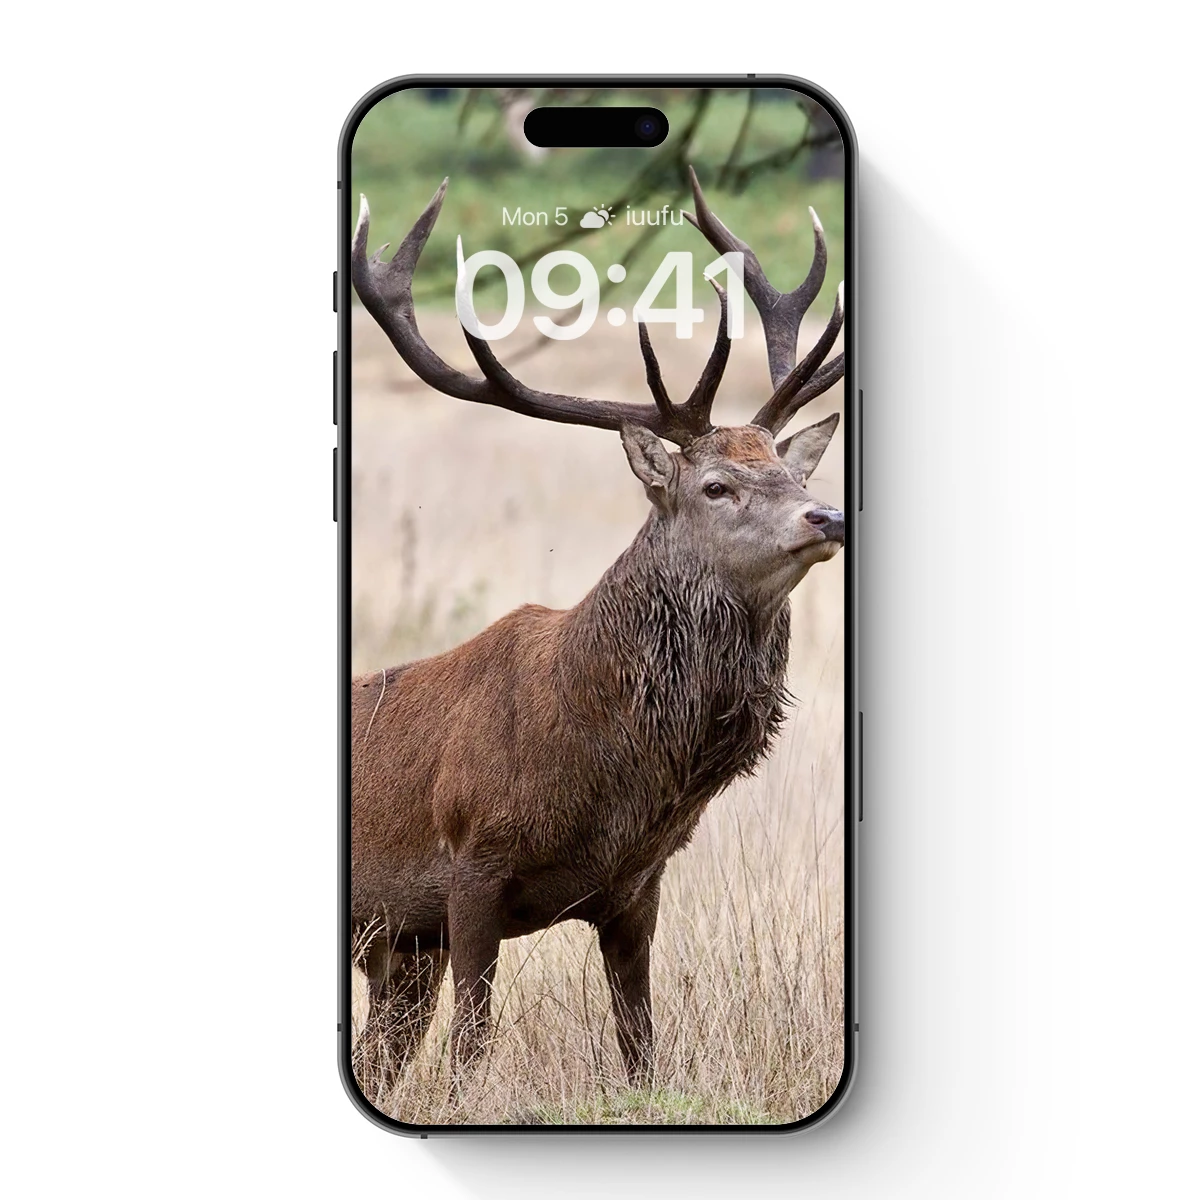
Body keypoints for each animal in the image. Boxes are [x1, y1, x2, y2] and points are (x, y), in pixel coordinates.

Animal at [348, 167, 846, 1093]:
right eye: (717, 486)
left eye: (794, 473)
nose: (826, 514)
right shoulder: (468, 866)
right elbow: (473, 1049)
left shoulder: (635, 890)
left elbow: (642, 1046)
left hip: (395, 954)